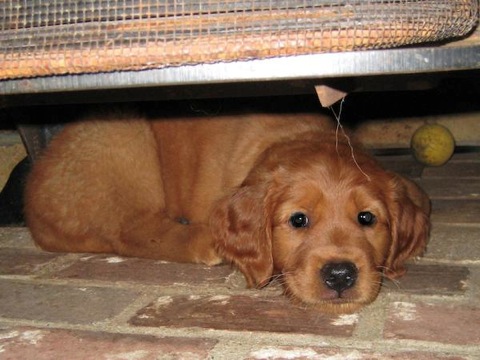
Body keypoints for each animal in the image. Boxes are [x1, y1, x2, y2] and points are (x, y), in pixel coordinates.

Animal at [24, 111, 432, 314]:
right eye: (298, 220)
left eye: (367, 218)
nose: (340, 275)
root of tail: (33, 200)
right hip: (127, 141)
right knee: (131, 230)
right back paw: (202, 239)